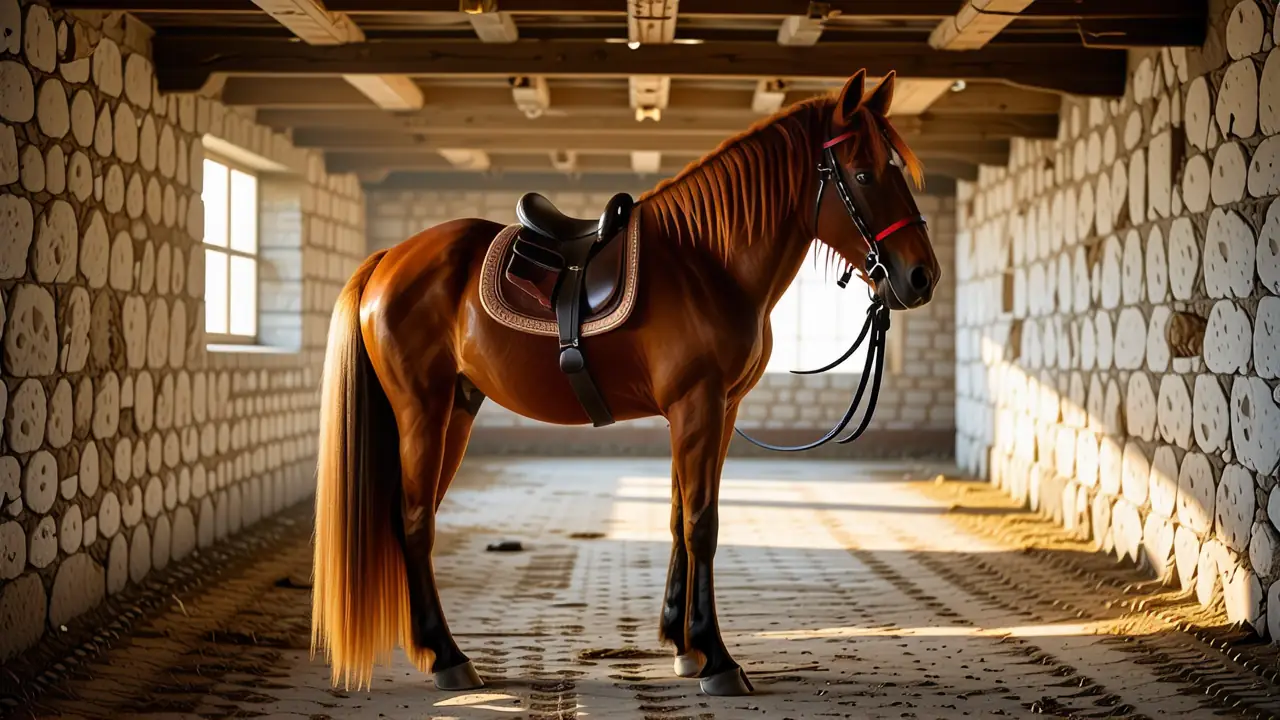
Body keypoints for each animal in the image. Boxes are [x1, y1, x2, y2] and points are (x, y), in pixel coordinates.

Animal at [310, 68, 941, 698]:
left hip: (457, 410)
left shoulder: (717, 410)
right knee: (415, 521)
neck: (708, 264)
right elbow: (702, 525)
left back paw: (431, 649)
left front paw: (684, 646)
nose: (921, 277)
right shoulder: (697, 405)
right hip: (422, 408)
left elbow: (679, 518)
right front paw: (717, 659)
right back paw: (448, 657)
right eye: (864, 173)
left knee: (415, 517)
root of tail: (390, 258)